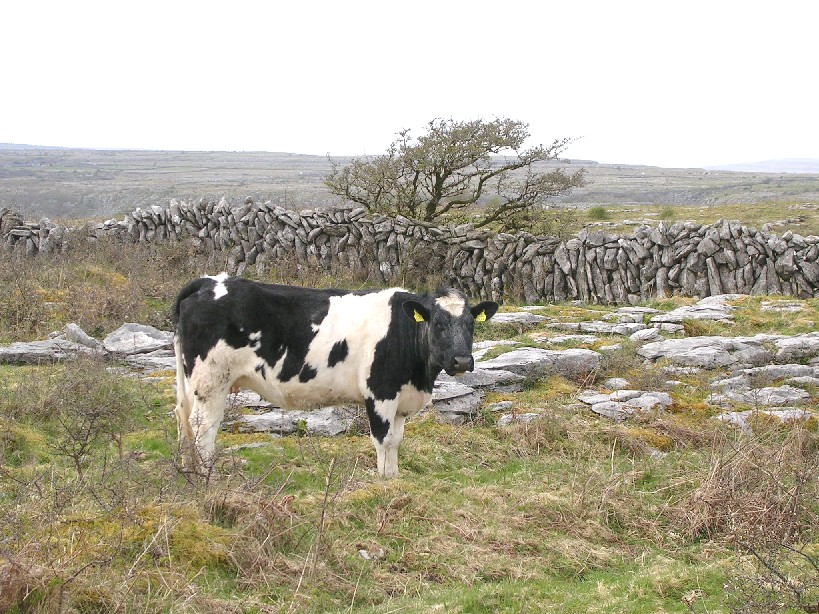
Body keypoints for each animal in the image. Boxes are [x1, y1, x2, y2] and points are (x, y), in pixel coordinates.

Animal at [172, 273, 498, 478]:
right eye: (439, 324)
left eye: (471, 324)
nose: (462, 360)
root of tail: (210, 281)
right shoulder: (380, 392)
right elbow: (383, 440)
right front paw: (383, 481)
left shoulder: (400, 399)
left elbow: (395, 441)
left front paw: (393, 477)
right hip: (212, 382)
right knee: (202, 428)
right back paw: (207, 478)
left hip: (189, 381)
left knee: (182, 419)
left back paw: (187, 472)